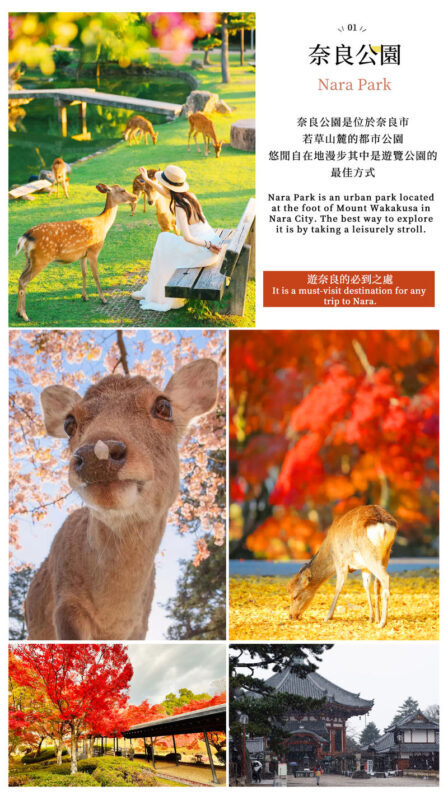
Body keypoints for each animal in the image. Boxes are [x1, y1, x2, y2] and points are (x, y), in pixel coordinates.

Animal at [15, 183, 137, 322]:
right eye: (123, 190)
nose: (135, 197)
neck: (102, 225)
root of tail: (25, 236)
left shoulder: (82, 255)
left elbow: (84, 273)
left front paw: (85, 297)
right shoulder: (94, 251)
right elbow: (96, 275)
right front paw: (103, 299)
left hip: (28, 259)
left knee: (20, 279)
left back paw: (18, 313)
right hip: (41, 258)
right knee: (24, 281)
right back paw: (25, 315)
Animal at [24, 359, 218, 641]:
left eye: (164, 406)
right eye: (69, 422)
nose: (97, 452)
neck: (113, 613)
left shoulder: (141, 625)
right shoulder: (65, 602)